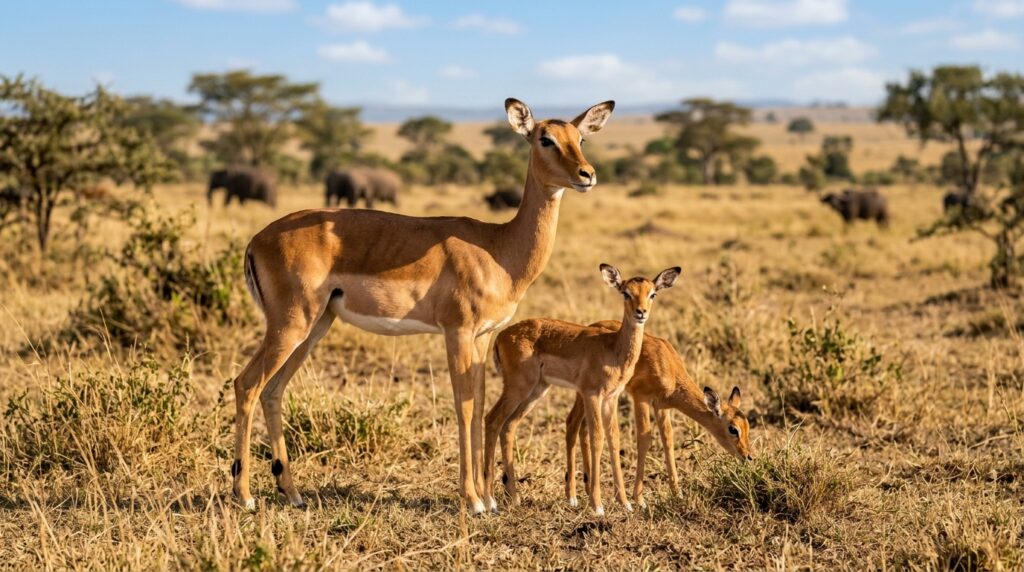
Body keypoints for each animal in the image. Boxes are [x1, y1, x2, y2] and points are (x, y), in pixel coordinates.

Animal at [231, 98, 614, 513]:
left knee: (272, 391)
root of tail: (256, 240)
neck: (498, 249)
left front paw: (488, 499)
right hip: (290, 325)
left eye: (579, 138)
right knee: (246, 384)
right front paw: (473, 500)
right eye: (545, 138)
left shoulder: (482, 337)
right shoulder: (457, 332)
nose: (587, 174)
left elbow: (479, 404)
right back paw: (245, 495)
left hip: (314, 328)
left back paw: (293, 493)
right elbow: (464, 406)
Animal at [484, 264, 681, 515]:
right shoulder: (592, 395)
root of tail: (501, 336)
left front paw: (625, 502)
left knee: (508, 426)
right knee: (492, 420)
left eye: (652, 293)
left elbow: (614, 439)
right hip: (518, 388)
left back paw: (514, 497)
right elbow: (597, 438)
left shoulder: (611, 398)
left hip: (536, 391)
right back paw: (490, 501)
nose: (641, 312)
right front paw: (597, 505)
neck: (613, 349)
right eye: (626, 293)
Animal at [565, 322, 752, 509]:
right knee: (572, 423)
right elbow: (644, 438)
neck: (668, 366)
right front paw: (639, 499)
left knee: (583, 429)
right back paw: (573, 497)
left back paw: (587, 488)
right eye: (733, 429)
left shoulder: (661, 406)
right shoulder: (641, 398)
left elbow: (667, 440)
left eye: (747, 427)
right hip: (590, 395)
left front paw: (677, 493)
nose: (748, 456)